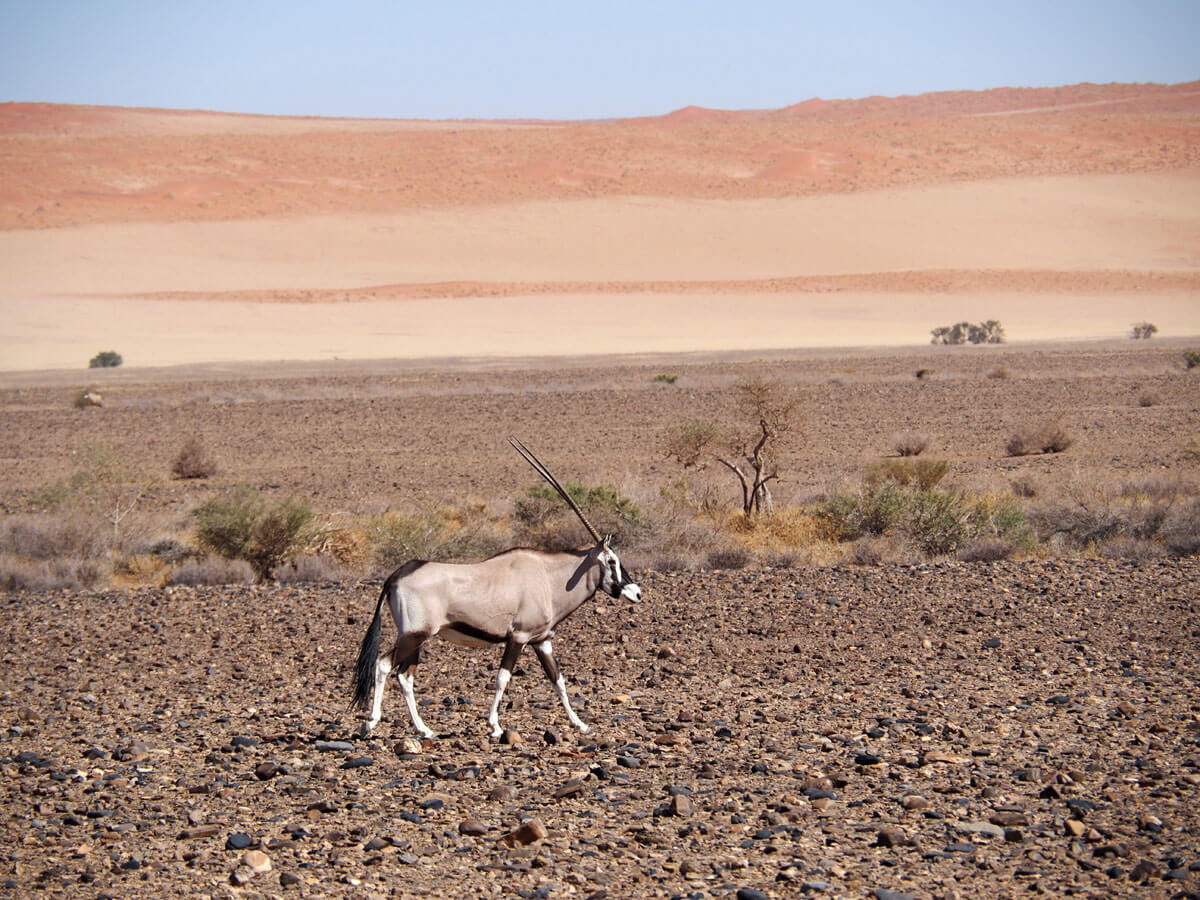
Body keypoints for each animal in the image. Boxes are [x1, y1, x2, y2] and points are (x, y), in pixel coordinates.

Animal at [350, 436, 643, 739]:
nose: (636, 592)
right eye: (612, 560)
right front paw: (495, 725)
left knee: (405, 675)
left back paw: (424, 729)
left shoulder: (542, 641)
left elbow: (558, 680)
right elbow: (503, 678)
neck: (549, 578)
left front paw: (580, 723)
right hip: (414, 635)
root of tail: (396, 575)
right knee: (384, 665)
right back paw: (371, 721)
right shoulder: (518, 637)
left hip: (416, 638)